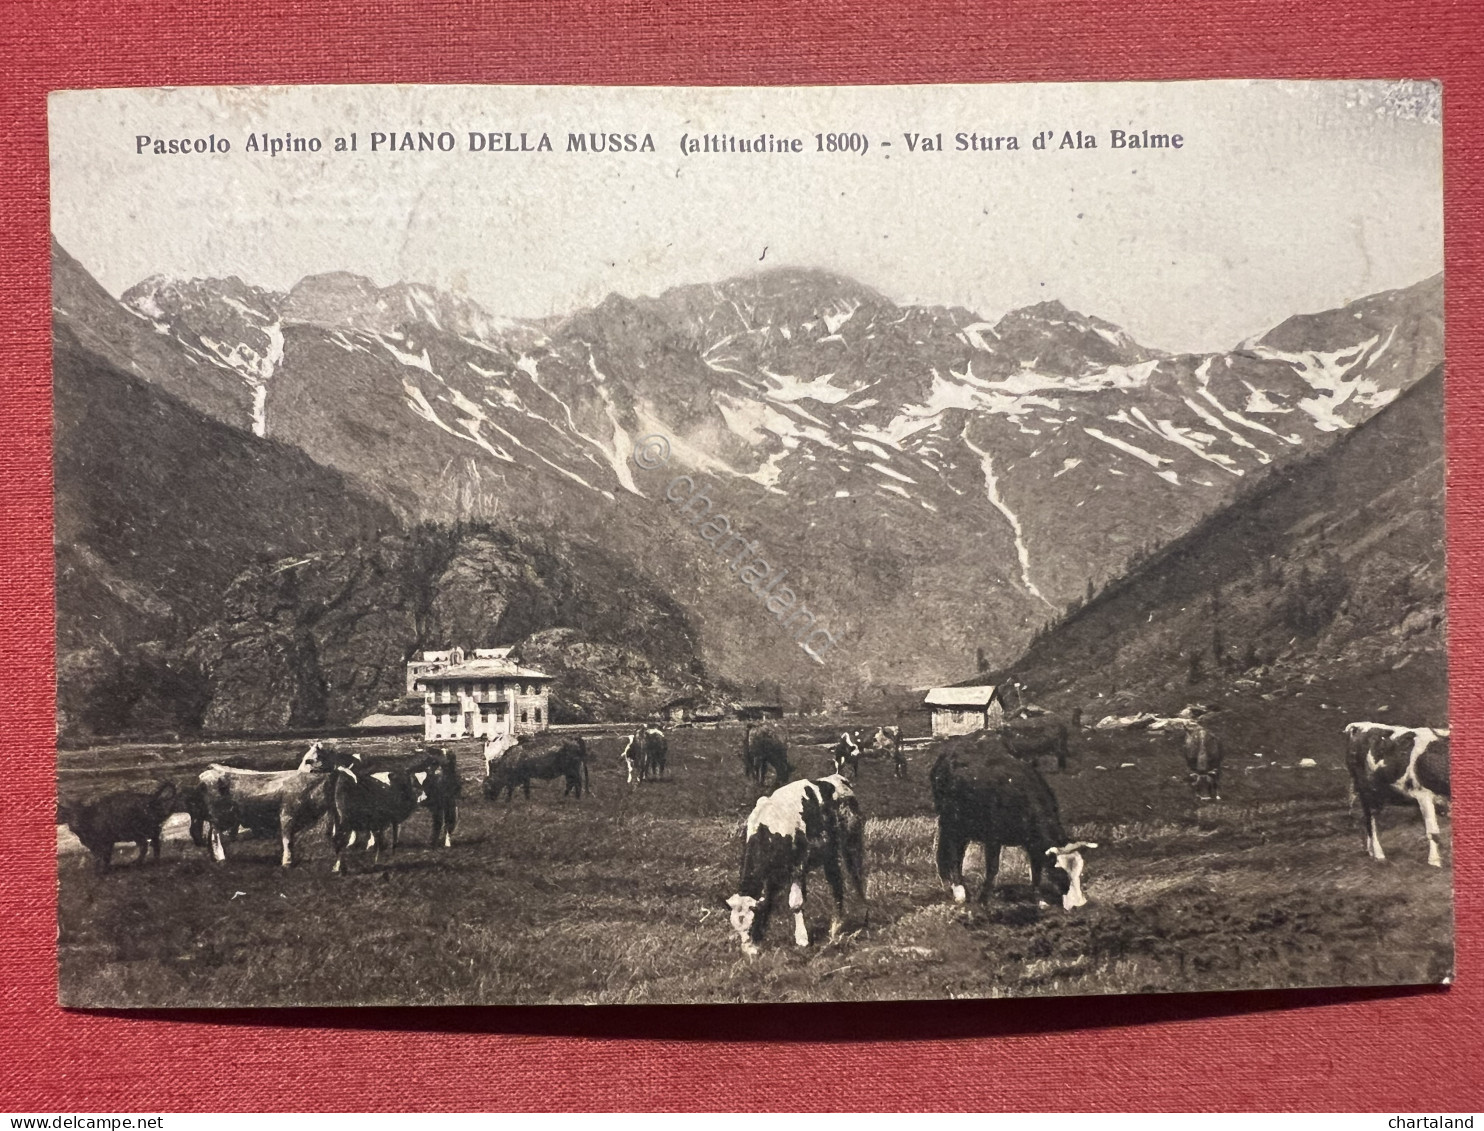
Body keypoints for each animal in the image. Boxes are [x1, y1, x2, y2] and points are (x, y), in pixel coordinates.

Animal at [197, 739, 333, 860]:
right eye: (309, 759)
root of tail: (210, 770)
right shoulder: (287, 814)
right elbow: (287, 840)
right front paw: (287, 861)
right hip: (218, 817)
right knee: (215, 837)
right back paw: (221, 858)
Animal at [721, 765, 866, 949]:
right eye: (737, 928)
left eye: (751, 924)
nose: (749, 953)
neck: (770, 827)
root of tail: (837, 778)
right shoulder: (772, 874)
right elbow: (768, 900)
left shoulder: (798, 866)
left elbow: (796, 903)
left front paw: (802, 938)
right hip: (829, 853)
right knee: (836, 883)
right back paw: (835, 927)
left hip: (851, 840)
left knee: (856, 875)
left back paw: (863, 913)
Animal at [931, 730, 1098, 908]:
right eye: (1060, 871)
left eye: (1080, 871)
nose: (1079, 903)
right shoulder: (993, 838)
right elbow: (992, 869)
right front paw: (984, 899)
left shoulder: (1034, 843)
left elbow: (1036, 870)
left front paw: (1040, 900)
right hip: (950, 820)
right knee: (952, 852)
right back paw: (958, 890)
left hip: (965, 826)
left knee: (958, 852)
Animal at [1347, 718, 1448, 866]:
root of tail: (1359, 725)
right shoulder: (1423, 795)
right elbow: (1433, 832)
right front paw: (1434, 861)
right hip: (1366, 790)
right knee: (1371, 820)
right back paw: (1378, 854)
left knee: (1368, 819)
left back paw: (1370, 850)